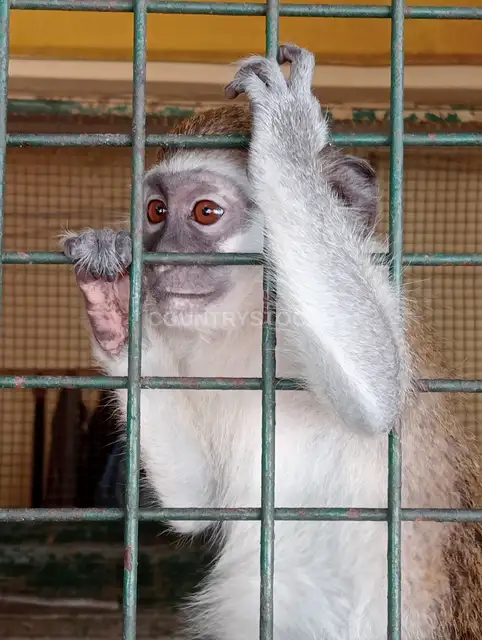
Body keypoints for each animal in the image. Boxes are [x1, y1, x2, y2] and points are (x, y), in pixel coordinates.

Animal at [61, 44, 482, 639]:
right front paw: (117, 298)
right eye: (155, 212)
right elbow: (199, 498)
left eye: (205, 212)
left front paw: (288, 143)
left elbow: (379, 393)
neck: (248, 325)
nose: (163, 260)